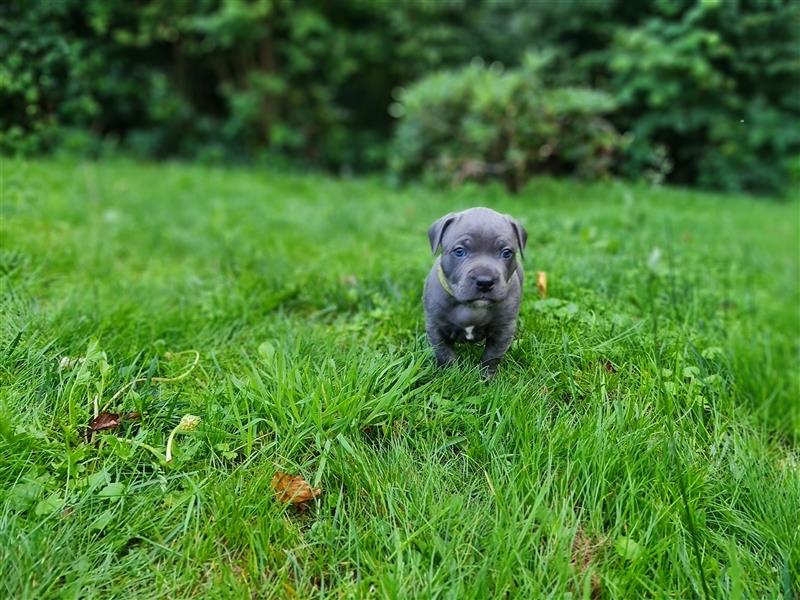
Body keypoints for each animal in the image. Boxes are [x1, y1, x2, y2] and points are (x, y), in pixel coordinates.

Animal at [422, 206, 528, 376]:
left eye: (506, 253)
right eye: (459, 251)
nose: (485, 282)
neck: (471, 307)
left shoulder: (503, 329)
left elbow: (492, 356)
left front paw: (486, 377)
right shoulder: (436, 327)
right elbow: (445, 354)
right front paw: (451, 375)